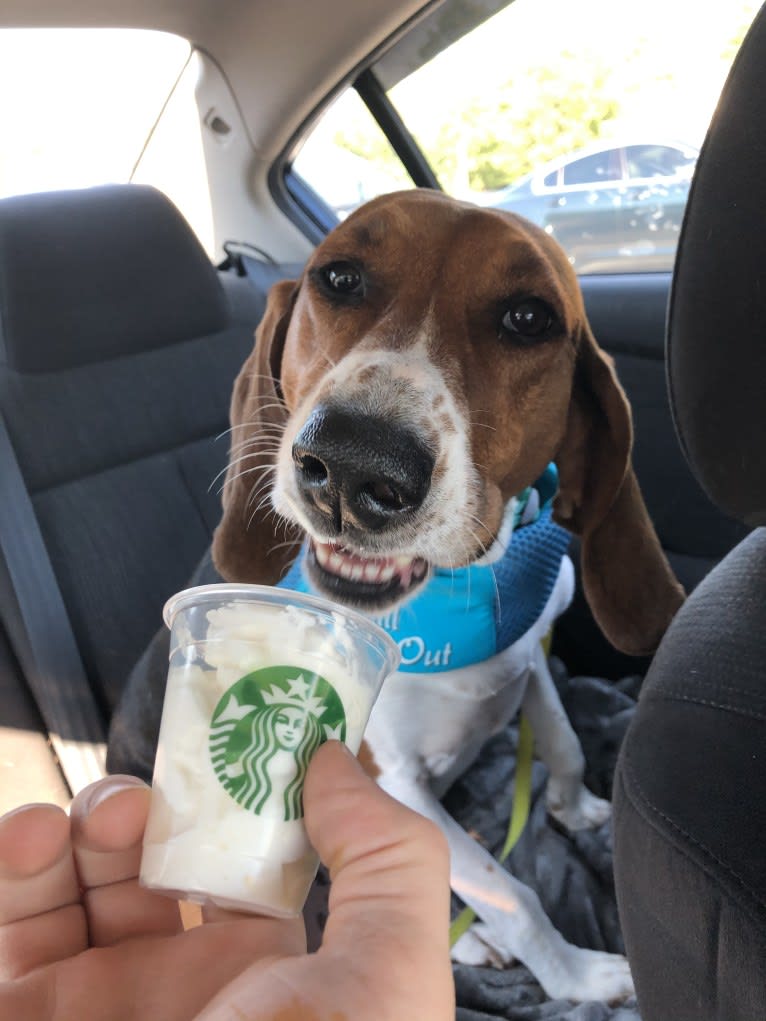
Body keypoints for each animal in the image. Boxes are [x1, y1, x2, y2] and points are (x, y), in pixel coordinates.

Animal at [210, 187, 682, 1000]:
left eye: (528, 318)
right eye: (339, 278)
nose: (353, 464)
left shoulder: (529, 658)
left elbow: (561, 739)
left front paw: (576, 806)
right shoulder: (388, 779)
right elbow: (509, 890)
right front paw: (578, 976)